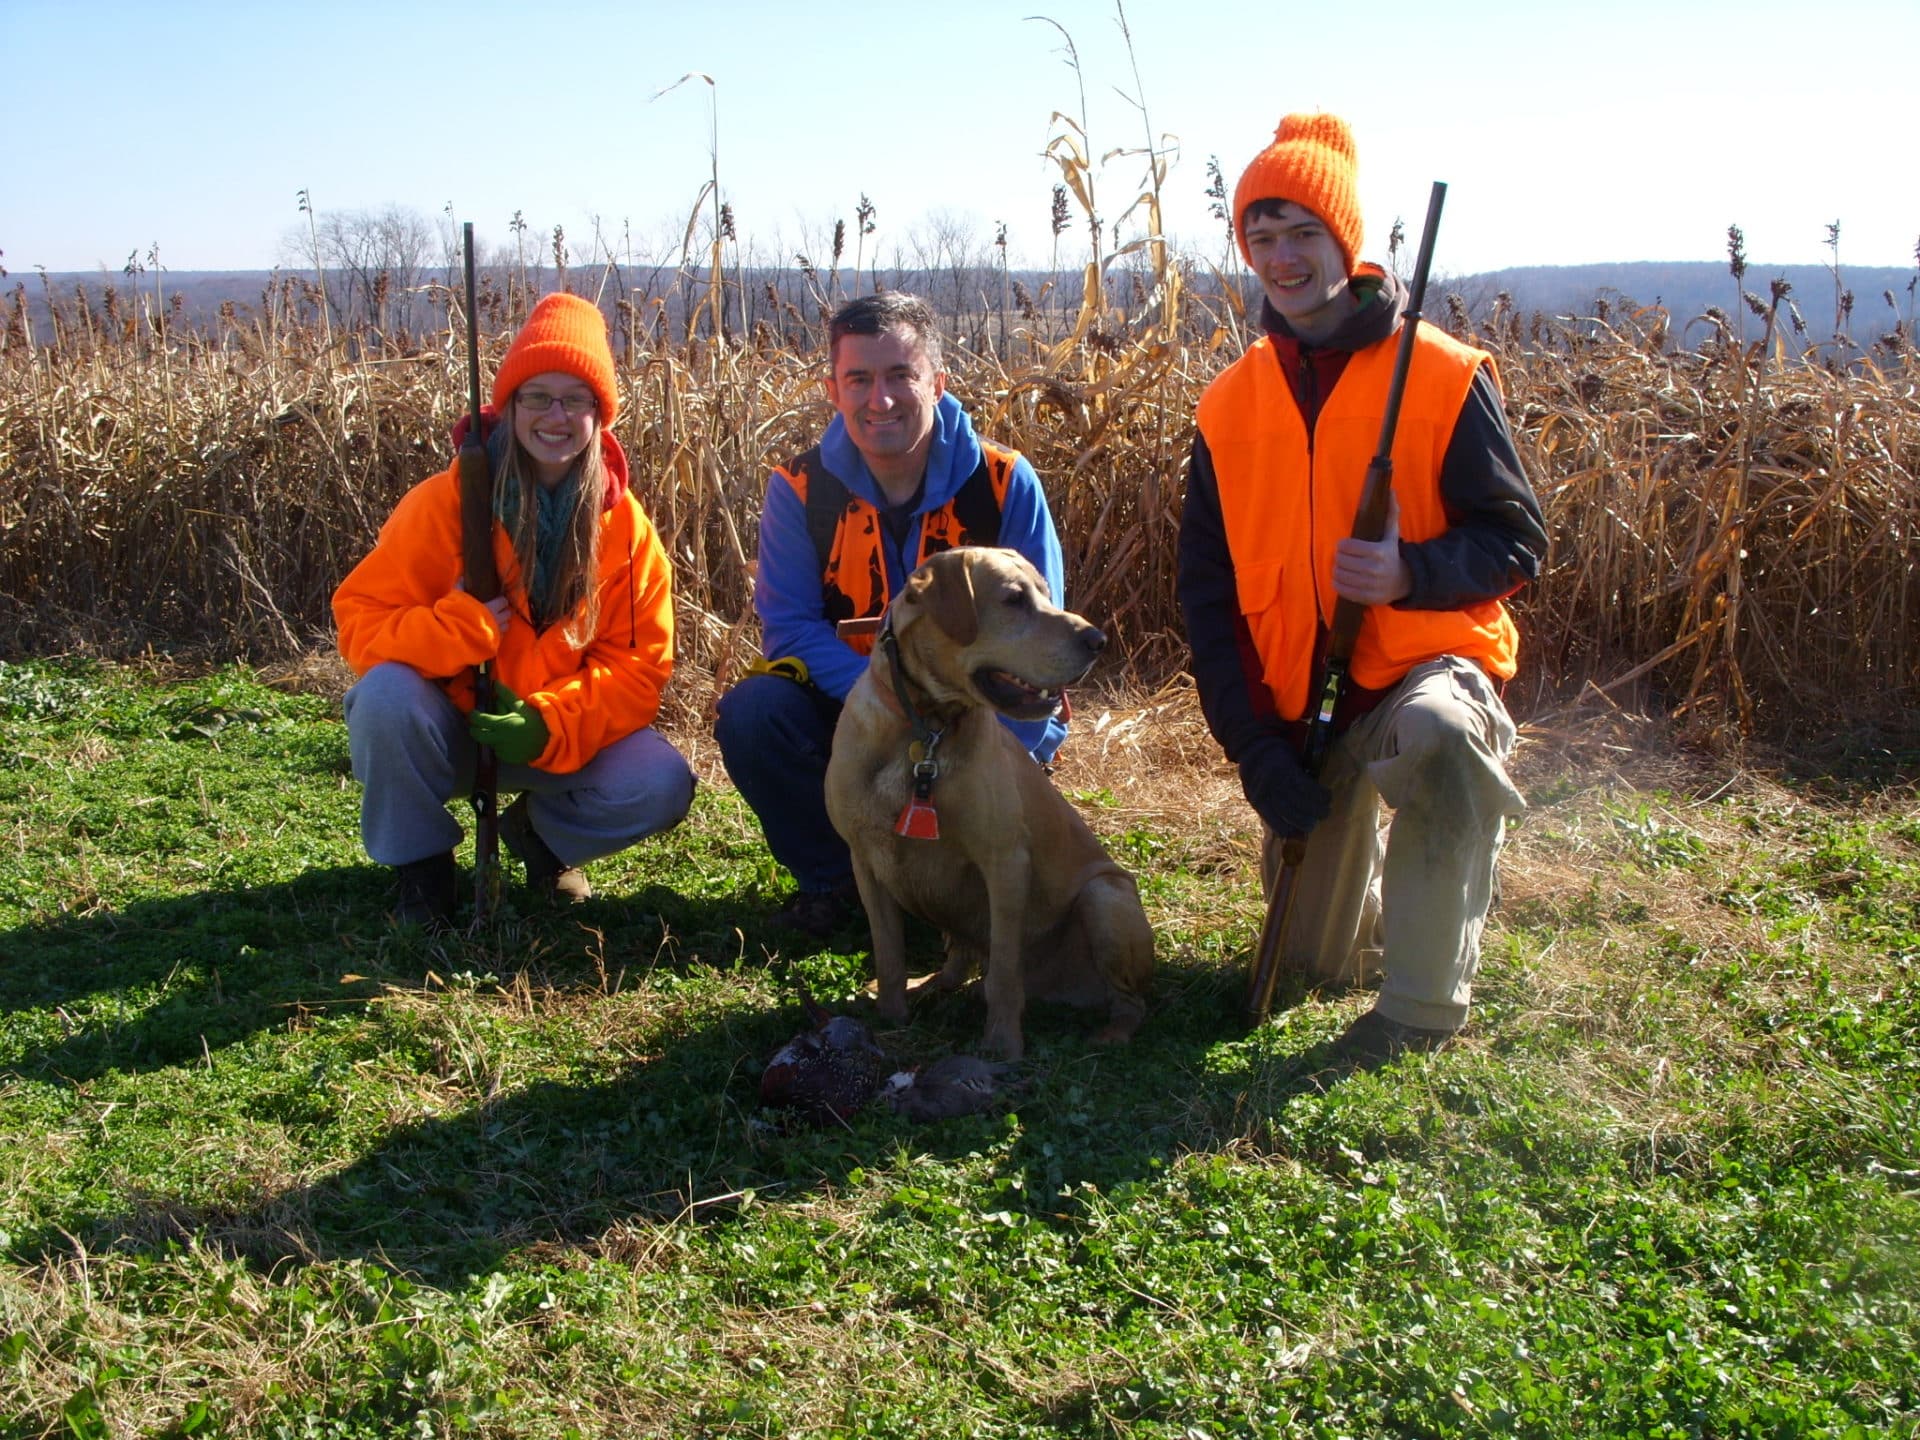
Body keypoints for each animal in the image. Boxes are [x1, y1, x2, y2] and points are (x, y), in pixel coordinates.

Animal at [821, 549, 1144, 1059]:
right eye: (1013, 599)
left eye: (1047, 594)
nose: (1098, 640)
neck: (925, 729)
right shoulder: (866, 862)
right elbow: (889, 954)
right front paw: (891, 1016)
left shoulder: (1005, 863)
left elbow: (1006, 975)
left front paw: (1002, 1043)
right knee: (960, 959)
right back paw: (930, 984)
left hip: (1105, 896)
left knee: (1131, 1001)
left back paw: (1112, 1031)